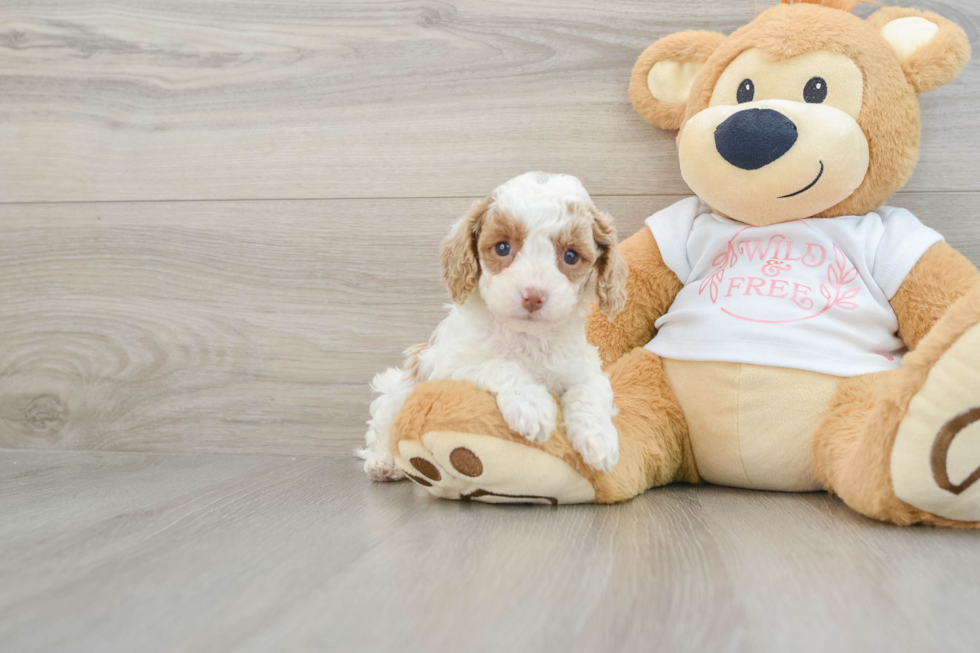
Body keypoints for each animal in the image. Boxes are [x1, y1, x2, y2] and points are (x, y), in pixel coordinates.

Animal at [358, 172, 628, 478]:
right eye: (502, 247)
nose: (533, 295)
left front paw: (599, 439)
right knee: (380, 428)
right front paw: (532, 405)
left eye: (570, 256)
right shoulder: (451, 368)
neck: (526, 337)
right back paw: (382, 462)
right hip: (396, 389)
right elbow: (499, 364)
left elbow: (590, 392)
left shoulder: (583, 366)